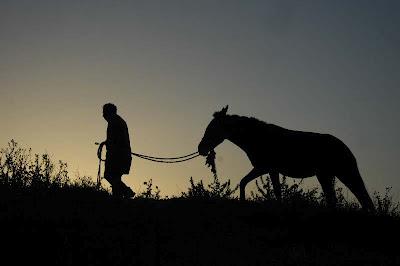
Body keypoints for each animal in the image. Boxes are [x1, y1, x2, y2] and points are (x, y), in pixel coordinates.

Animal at [198, 105, 376, 211]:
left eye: (212, 128)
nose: (201, 149)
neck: (255, 137)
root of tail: (345, 147)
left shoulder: (264, 167)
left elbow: (248, 183)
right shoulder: (270, 170)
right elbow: (268, 189)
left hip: (343, 173)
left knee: (363, 197)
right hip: (326, 175)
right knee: (338, 199)